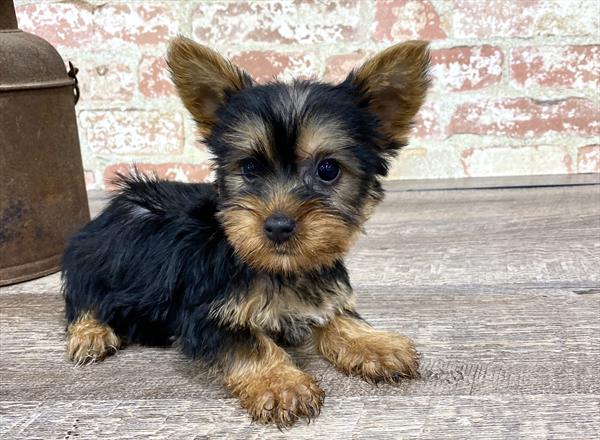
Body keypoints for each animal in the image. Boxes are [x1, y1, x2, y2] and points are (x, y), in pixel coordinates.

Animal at [62, 36, 432, 428]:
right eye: (251, 168)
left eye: (328, 169)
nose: (278, 226)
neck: (281, 269)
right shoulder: (204, 314)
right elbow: (249, 342)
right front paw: (281, 384)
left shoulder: (320, 290)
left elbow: (338, 315)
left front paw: (375, 344)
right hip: (97, 263)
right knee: (83, 299)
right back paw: (91, 334)